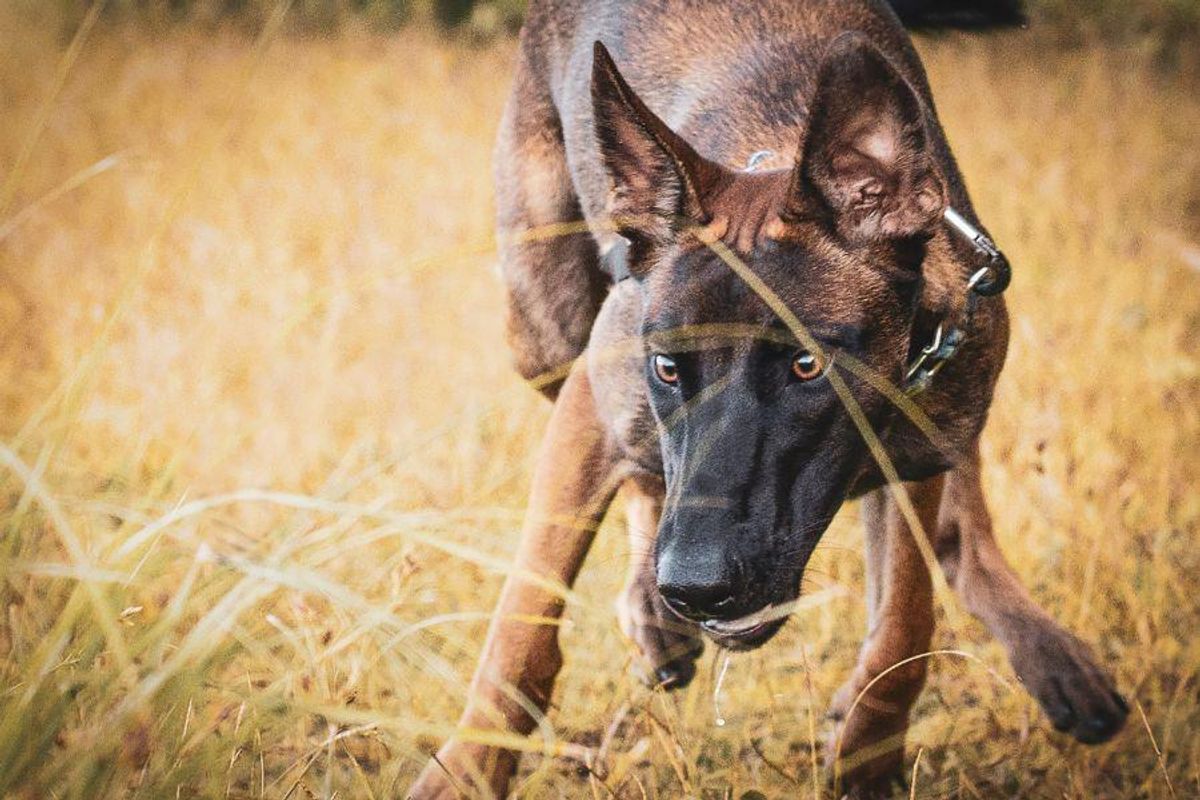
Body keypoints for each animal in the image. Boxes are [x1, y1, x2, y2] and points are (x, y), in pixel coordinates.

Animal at [410, 1, 1123, 796]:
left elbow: (904, 626)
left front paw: (867, 756)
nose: (694, 587)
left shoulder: (918, 448)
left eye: (808, 366)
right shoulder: (596, 404)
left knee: (961, 526)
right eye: (667, 367)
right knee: (637, 472)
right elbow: (523, 620)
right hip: (545, 330)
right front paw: (468, 768)